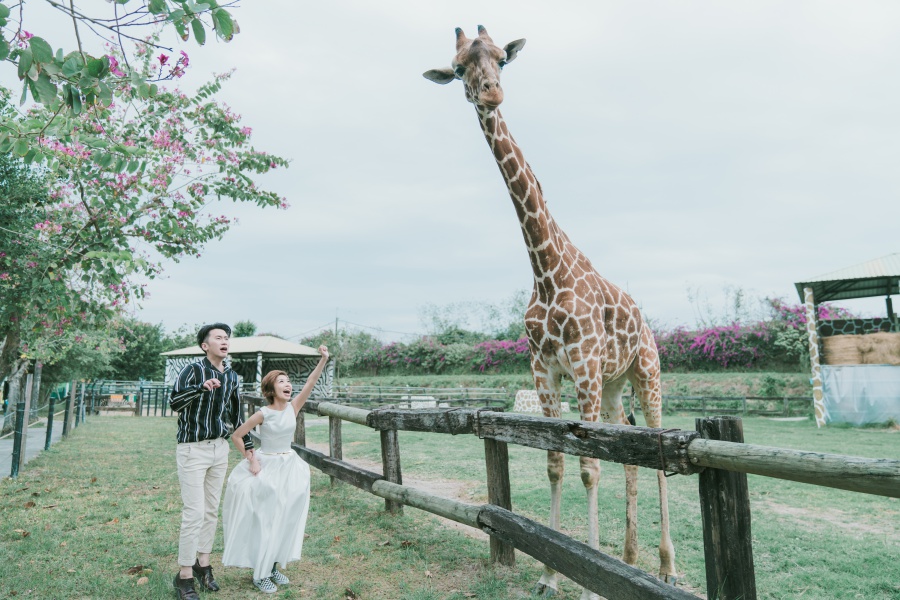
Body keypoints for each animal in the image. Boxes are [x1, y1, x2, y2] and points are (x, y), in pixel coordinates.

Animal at [424, 25, 676, 596]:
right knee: (628, 458)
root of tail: (646, 322)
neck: (545, 268)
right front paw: (550, 574)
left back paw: (665, 567)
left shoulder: (582, 367)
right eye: (459, 68)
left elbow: (589, 468)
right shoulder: (546, 370)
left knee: (653, 456)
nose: (492, 93)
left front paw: (587, 578)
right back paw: (629, 557)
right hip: (613, 386)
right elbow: (558, 464)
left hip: (645, 374)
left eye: (501, 60)